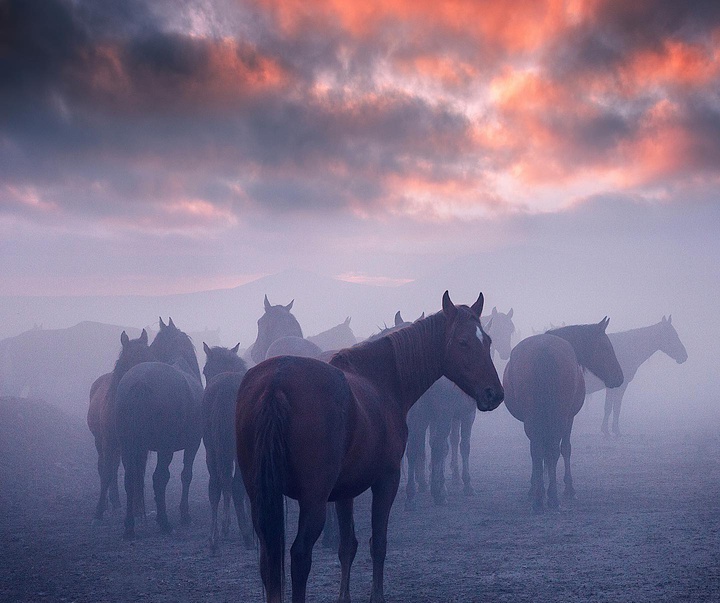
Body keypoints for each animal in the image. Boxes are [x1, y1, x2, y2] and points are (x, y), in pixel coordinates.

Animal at [89, 328, 153, 520]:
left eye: (150, 355)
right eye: (132, 358)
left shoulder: (138, 444)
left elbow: (137, 472)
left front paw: (138, 510)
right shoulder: (109, 442)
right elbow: (106, 472)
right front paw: (98, 512)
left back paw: (117, 502)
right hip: (102, 442)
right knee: (105, 467)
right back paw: (109, 503)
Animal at [116, 318, 204, 540]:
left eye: (153, 345)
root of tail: (141, 381)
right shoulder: (193, 444)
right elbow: (186, 475)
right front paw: (185, 515)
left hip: (127, 446)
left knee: (130, 479)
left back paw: (129, 527)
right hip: (165, 448)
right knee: (160, 478)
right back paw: (164, 522)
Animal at [202, 342, 256, 556]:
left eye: (205, 370)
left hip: (213, 449)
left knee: (217, 486)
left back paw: (215, 539)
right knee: (235, 486)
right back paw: (247, 534)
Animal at [235, 292, 500, 603]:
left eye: (488, 340)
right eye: (463, 342)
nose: (494, 393)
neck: (380, 378)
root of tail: (276, 382)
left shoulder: (344, 491)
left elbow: (347, 546)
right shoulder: (386, 481)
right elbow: (378, 544)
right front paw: (377, 596)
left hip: (262, 498)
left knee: (268, 560)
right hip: (313, 500)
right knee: (299, 557)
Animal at [500, 318, 624, 512]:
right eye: (605, 347)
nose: (619, 377)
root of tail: (543, 352)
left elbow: (541, 454)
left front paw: (536, 486)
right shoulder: (569, 418)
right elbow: (565, 449)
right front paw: (568, 488)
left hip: (534, 419)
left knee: (538, 450)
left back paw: (539, 499)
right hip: (559, 417)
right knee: (553, 450)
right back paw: (552, 497)